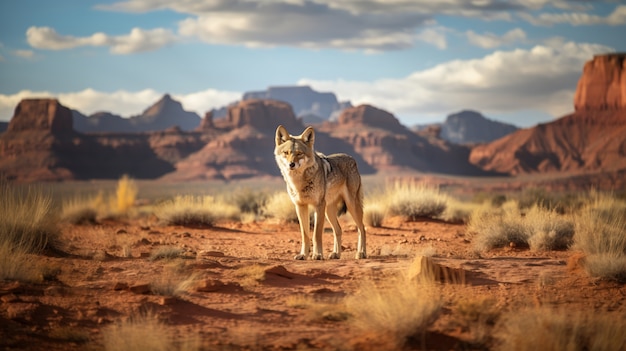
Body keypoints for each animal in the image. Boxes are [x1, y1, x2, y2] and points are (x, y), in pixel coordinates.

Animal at [272, 125, 366, 260]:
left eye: (299, 153)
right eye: (286, 153)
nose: (291, 164)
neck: (299, 183)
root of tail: (352, 159)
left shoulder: (318, 206)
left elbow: (316, 234)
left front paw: (317, 255)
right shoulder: (300, 206)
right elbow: (305, 235)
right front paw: (303, 255)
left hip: (351, 206)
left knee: (362, 228)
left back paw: (361, 253)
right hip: (329, 211)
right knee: (338, 230)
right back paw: (336, 254)